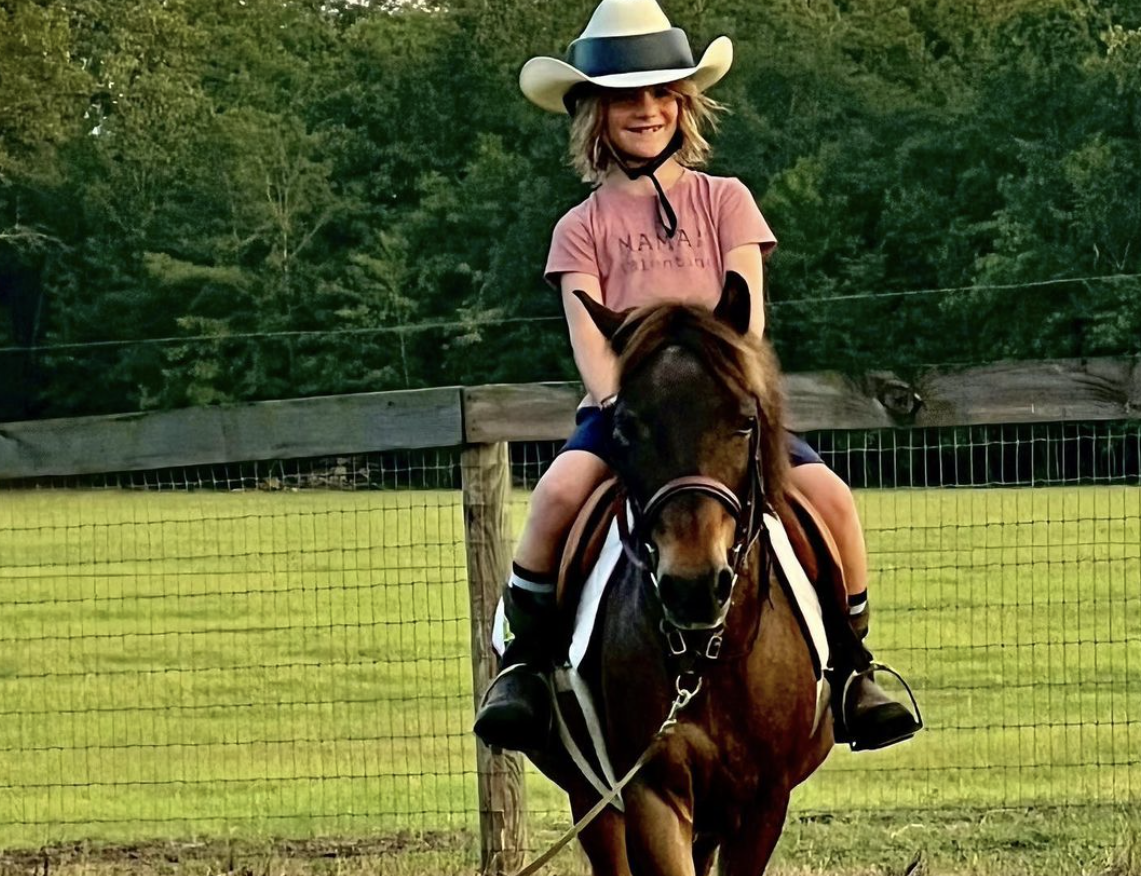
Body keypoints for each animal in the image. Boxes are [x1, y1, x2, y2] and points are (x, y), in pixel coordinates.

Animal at [527, 271, 848, 866]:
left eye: (745, 422)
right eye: (624, 427)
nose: (694, 587)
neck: (707, 658)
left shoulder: (763, 804)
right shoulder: (652, 793)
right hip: (594, 801)